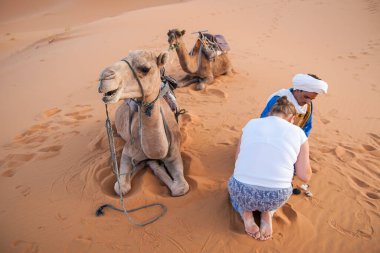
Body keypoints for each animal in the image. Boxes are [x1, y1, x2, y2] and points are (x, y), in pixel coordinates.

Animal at [98, 49, 190, 196]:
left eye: (145, 68)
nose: (104, 77)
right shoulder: (128, 150)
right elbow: (121, 187)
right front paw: (147, 164)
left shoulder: (174, 152)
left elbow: (181, 187)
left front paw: (154, 165)